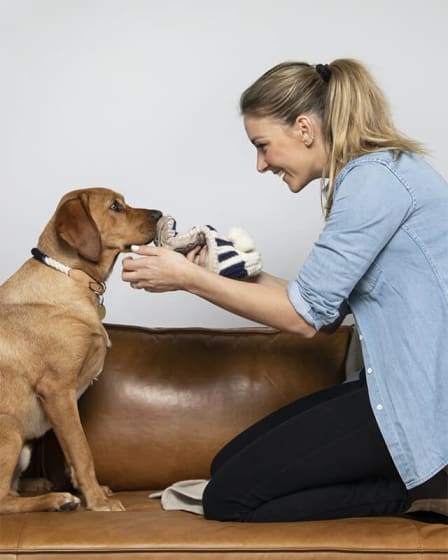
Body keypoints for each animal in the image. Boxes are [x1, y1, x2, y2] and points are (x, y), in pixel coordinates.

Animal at [0, 187, 161, 512]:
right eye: (115, 206)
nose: (160, 214)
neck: (71, 276)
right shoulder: (58, 390)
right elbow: (82, 450)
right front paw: (97, 501)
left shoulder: (67, 401)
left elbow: (71, 453)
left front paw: (90, 491)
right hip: (9, 428)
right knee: (2, 500)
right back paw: (57, 500)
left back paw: (41, 485)